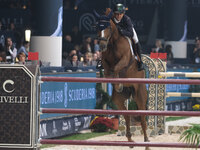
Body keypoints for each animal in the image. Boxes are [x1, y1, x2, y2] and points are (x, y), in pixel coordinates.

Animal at [94, 8, 148, 145]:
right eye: (97, 27)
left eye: (108, 27)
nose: (102, 46)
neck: (113, 42)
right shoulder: (105, 64)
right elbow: (108, 72)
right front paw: (116, 84)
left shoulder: (124, 60)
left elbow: (116, 68)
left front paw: (118, 84)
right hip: (118, 100)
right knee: (127, 115)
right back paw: (129, 138)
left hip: (139, 95)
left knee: (142, 116)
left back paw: (146, 139)